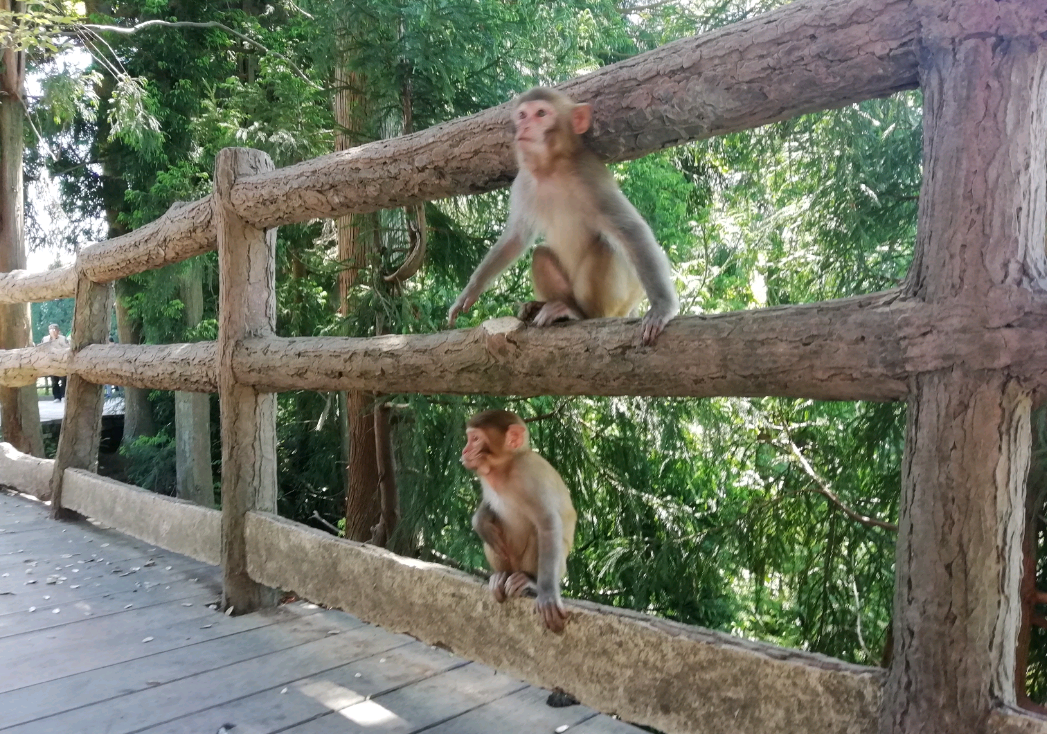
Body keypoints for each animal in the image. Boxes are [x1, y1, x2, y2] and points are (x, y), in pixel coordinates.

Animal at [448, 87, 678, 345]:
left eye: (541, 113)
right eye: (522, 115)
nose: (524, 127)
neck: (550, 168)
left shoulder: (589, 177)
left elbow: (629, 228)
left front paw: (662, 308)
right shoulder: (523, 183)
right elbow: (516, 237)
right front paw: (470, 291)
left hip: (625, 297)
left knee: (606, 245)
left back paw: (581, 313)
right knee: (540, 254)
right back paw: (547, 306)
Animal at [464, 410, 582, 632]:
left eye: (475, 439)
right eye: (469, 438)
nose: (465, 450)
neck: (505, 470)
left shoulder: (529, 476)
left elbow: (548, 524)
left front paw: (547, 594)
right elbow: (488, 507)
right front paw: (480, 522)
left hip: (557, 566)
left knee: (540, 535)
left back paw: (529, 579)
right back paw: (500, 575)